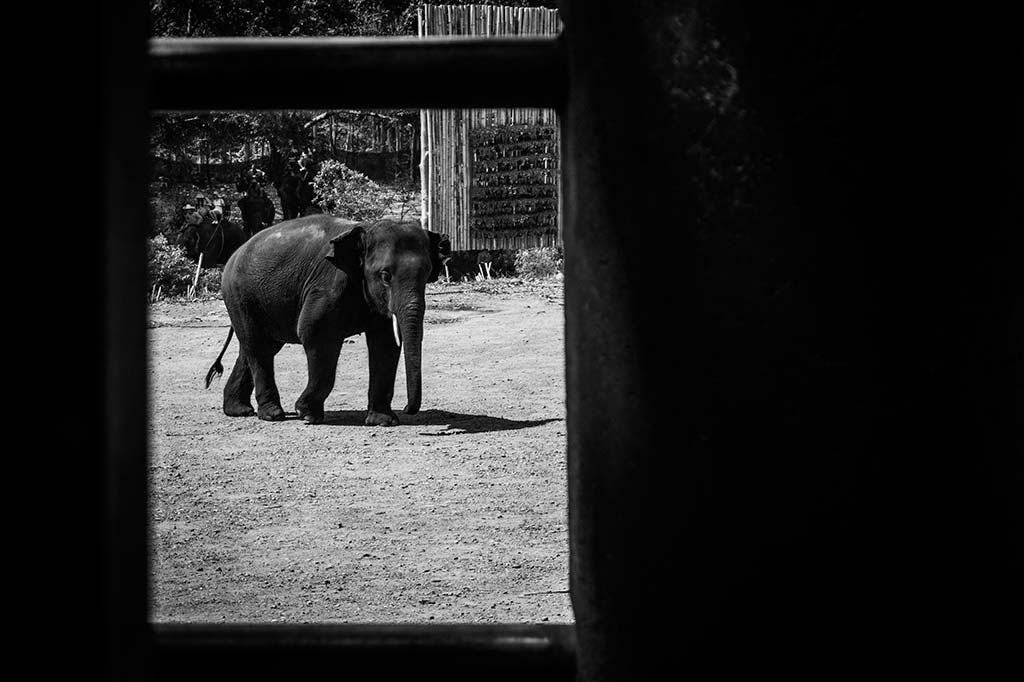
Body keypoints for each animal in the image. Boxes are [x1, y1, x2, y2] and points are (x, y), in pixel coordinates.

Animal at [205, 214, 450, 425]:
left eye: (426, 274)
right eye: (385, 276)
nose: (409, 408)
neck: (366, 229)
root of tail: (234, 254)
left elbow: (385, 343)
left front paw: (383, 421)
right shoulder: (328, 285)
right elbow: (315, 333)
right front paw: (306, 414)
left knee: (257, 348)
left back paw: (239, 410)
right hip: (239, 296)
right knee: (257, 346)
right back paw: (272, 415)